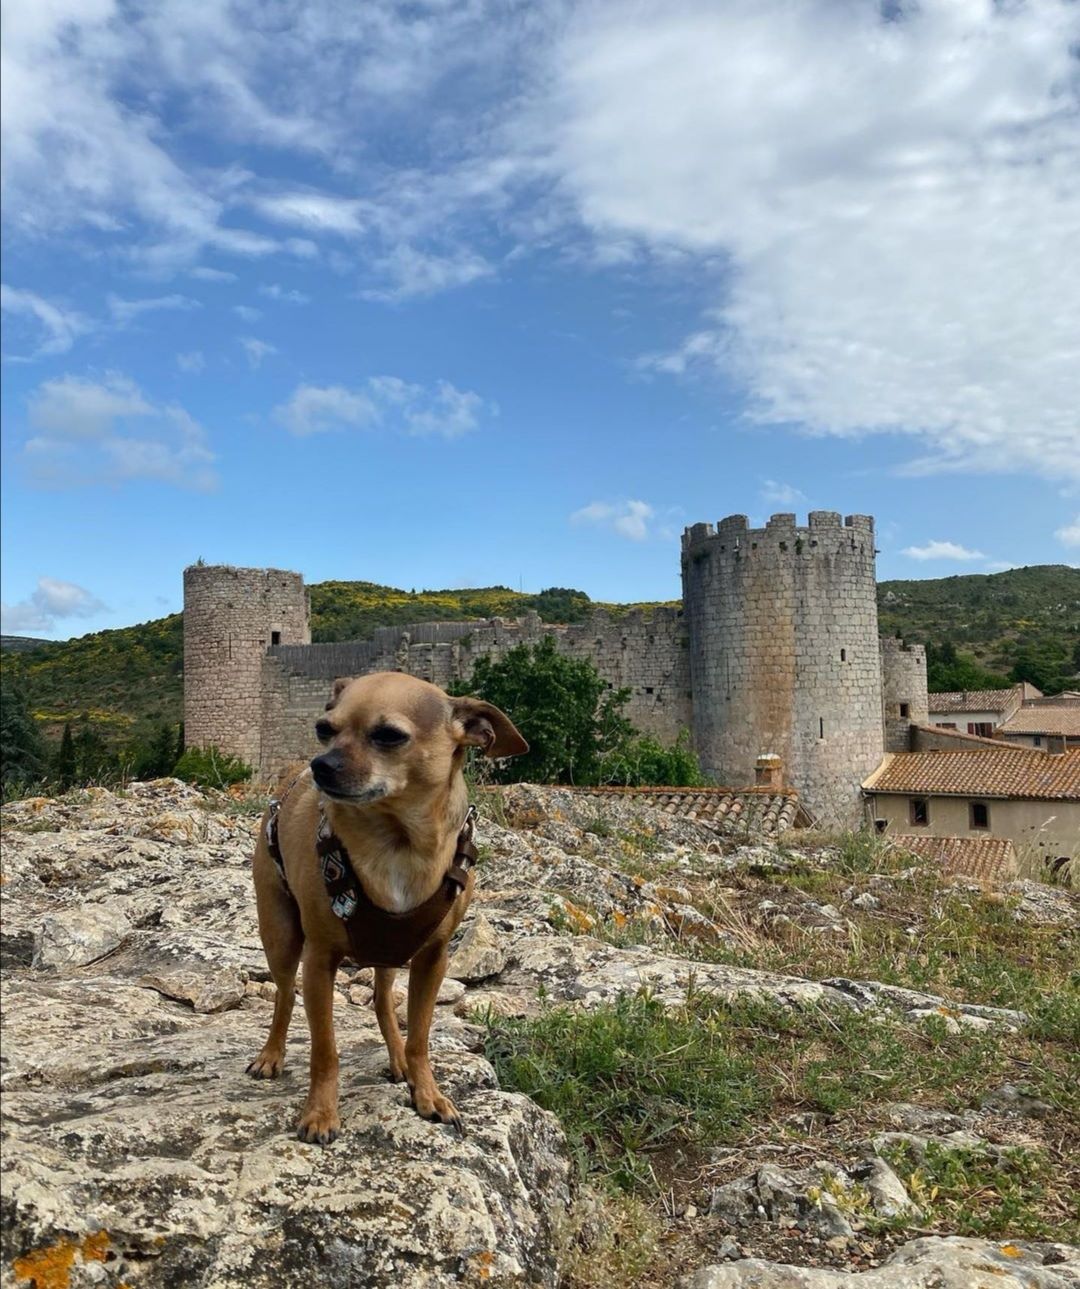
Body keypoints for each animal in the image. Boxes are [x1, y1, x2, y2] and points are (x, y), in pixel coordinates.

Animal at [250, 670, 528, 1144]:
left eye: (389, 735)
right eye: (324, 730)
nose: (320, 764)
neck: (397, 841)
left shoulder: (432, 959)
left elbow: (420, 1036)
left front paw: (427, 1092)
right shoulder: (319, 961)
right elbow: (325, 1048)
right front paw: (320, 1112)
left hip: (391, 953)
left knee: (382, 1001)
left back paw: (398, 1060)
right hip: (281, 939)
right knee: (285, 996)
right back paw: (272, 1054)